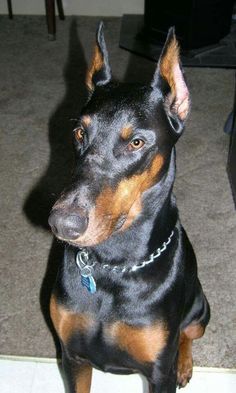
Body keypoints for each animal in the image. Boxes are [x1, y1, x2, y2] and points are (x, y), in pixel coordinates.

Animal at [48, 22, 210, 392]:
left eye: (136, 142)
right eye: (79, 133)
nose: (63, 224)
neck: (112, 268)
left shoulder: (158, 373)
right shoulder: (71, 357)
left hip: (200, 310)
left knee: (188, 334)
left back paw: (185, 362)